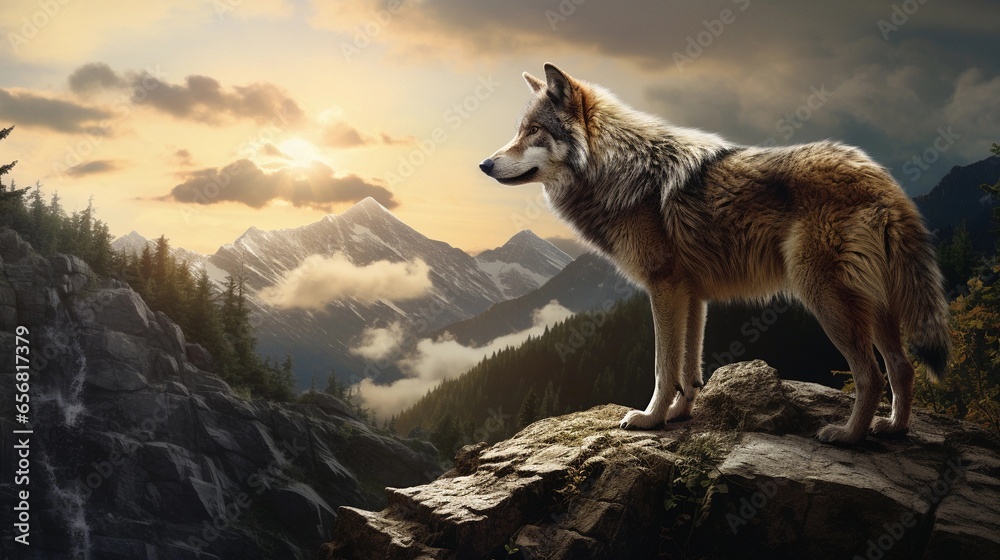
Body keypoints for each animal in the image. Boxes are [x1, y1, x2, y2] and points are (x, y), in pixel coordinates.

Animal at [479, 64, 951, 444]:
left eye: (533, 132)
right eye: (520, 130)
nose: (484, 164)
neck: (617, 169)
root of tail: (882, 179)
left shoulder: (664, 288)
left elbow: (663, 367)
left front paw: (650, 419)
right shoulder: (693, 296)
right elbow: (689, 369)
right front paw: (679, 414)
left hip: (827, 300)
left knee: (872, 375)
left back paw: (848, 436)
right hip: (876, 306)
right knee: (903, 368)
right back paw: (893, 429)